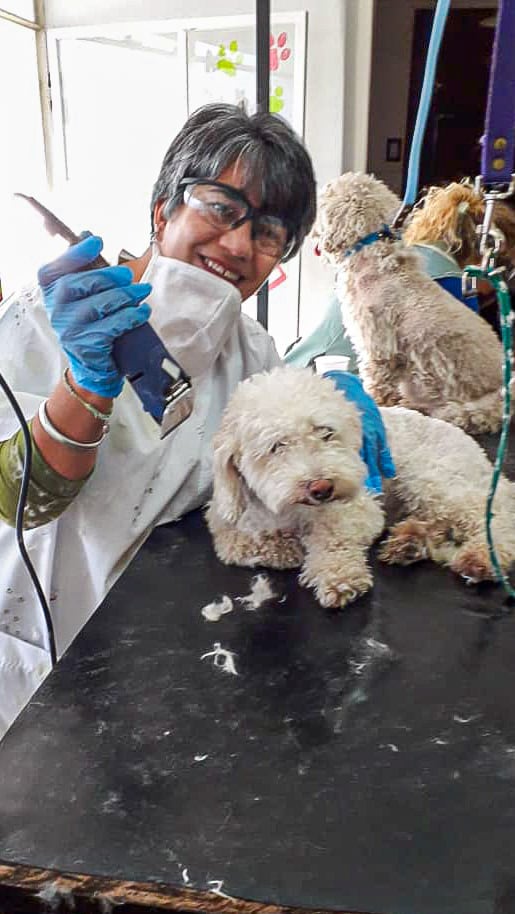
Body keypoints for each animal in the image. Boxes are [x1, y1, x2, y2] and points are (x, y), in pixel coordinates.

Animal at [206, 366, 515, 608]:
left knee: (493, 514)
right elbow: (241, 545)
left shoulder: (359, 507)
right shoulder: (226, 523)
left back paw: (482, 556)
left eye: (326, 432)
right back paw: (409, 541)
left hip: (431, 479)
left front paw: (337, 575)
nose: (322, 487)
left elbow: (332, 536)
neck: (291, 510)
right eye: (277, 446)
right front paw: (286, 549)